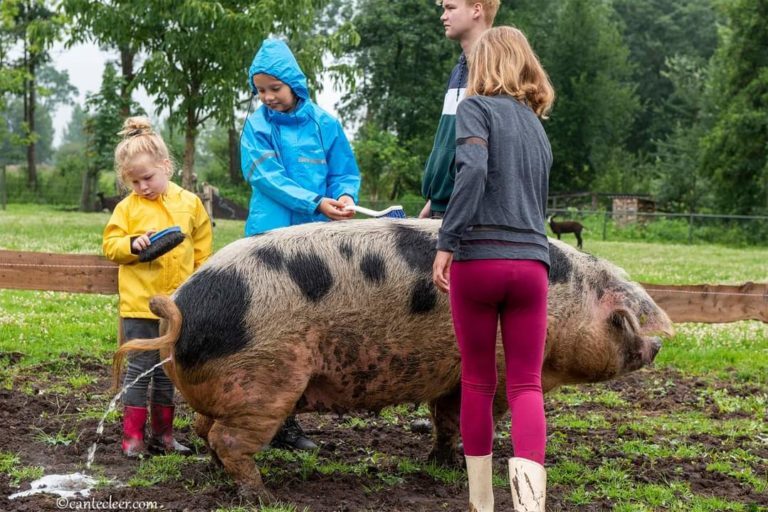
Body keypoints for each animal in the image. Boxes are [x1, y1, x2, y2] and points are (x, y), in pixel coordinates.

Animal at [115, 219, 672, 500]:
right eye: (623, 320)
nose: (659, 346)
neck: (566, 300)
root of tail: (178, 309)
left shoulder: (451, 377)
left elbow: (448, 419)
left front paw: (440, 462)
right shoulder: (496, 370)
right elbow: (483, 417)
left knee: (207, 430)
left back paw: (219, 478)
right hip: (267, 379)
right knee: (229, 438)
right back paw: (264, 497)